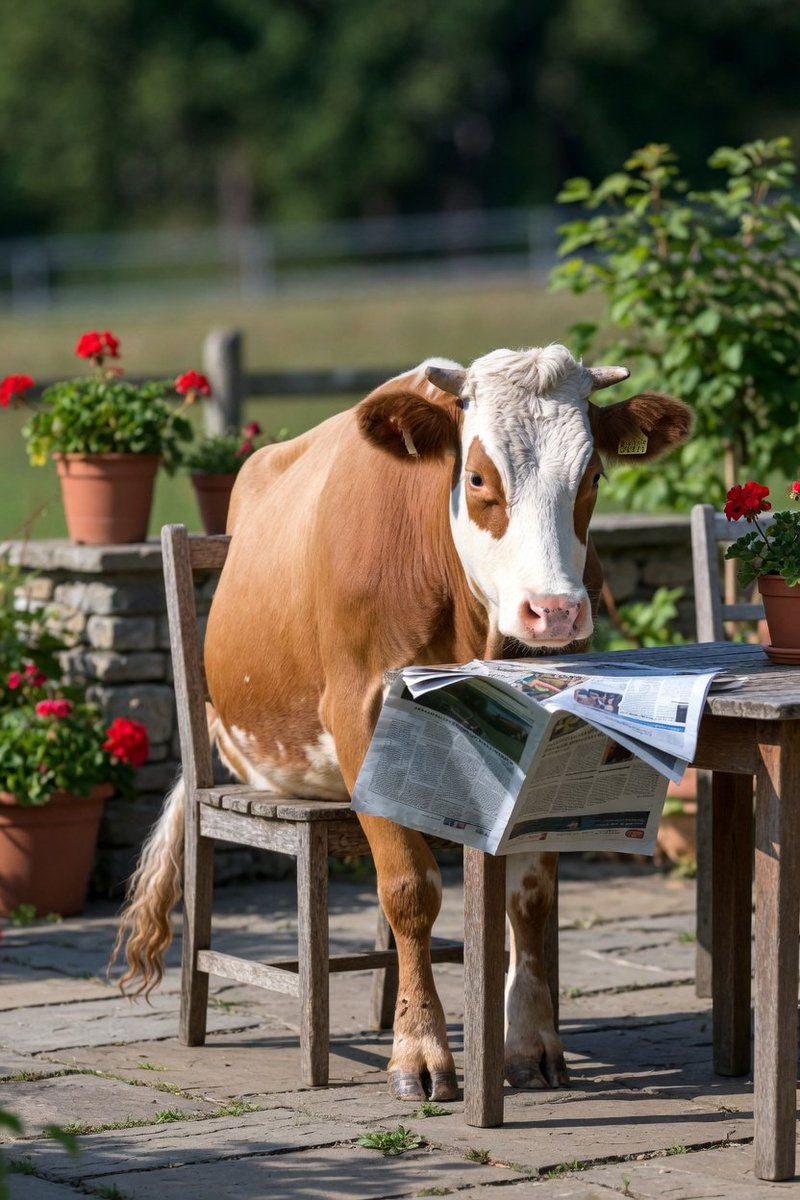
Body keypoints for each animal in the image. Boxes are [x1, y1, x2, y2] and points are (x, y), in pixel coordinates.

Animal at [114, 343, 691, 1101]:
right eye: (477, 476)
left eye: (593, 475)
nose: (555, 611)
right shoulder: (360, 710)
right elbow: (410, 890)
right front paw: (418, 1051)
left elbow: (531, 896)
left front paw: (530, 1042)